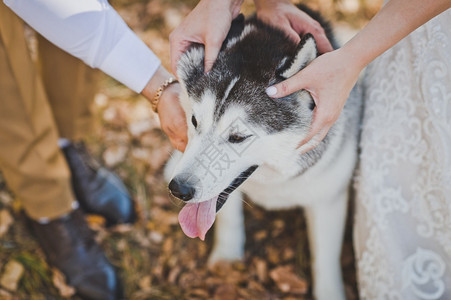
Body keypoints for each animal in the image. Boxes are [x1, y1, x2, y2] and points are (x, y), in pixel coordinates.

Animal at [165, 5, 360, 300]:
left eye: (238, 137)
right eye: (195, 121)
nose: (179, 189)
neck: (274, 179)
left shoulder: (329, 198)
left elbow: (325, 258)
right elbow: (228, 219)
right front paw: (227, 260)